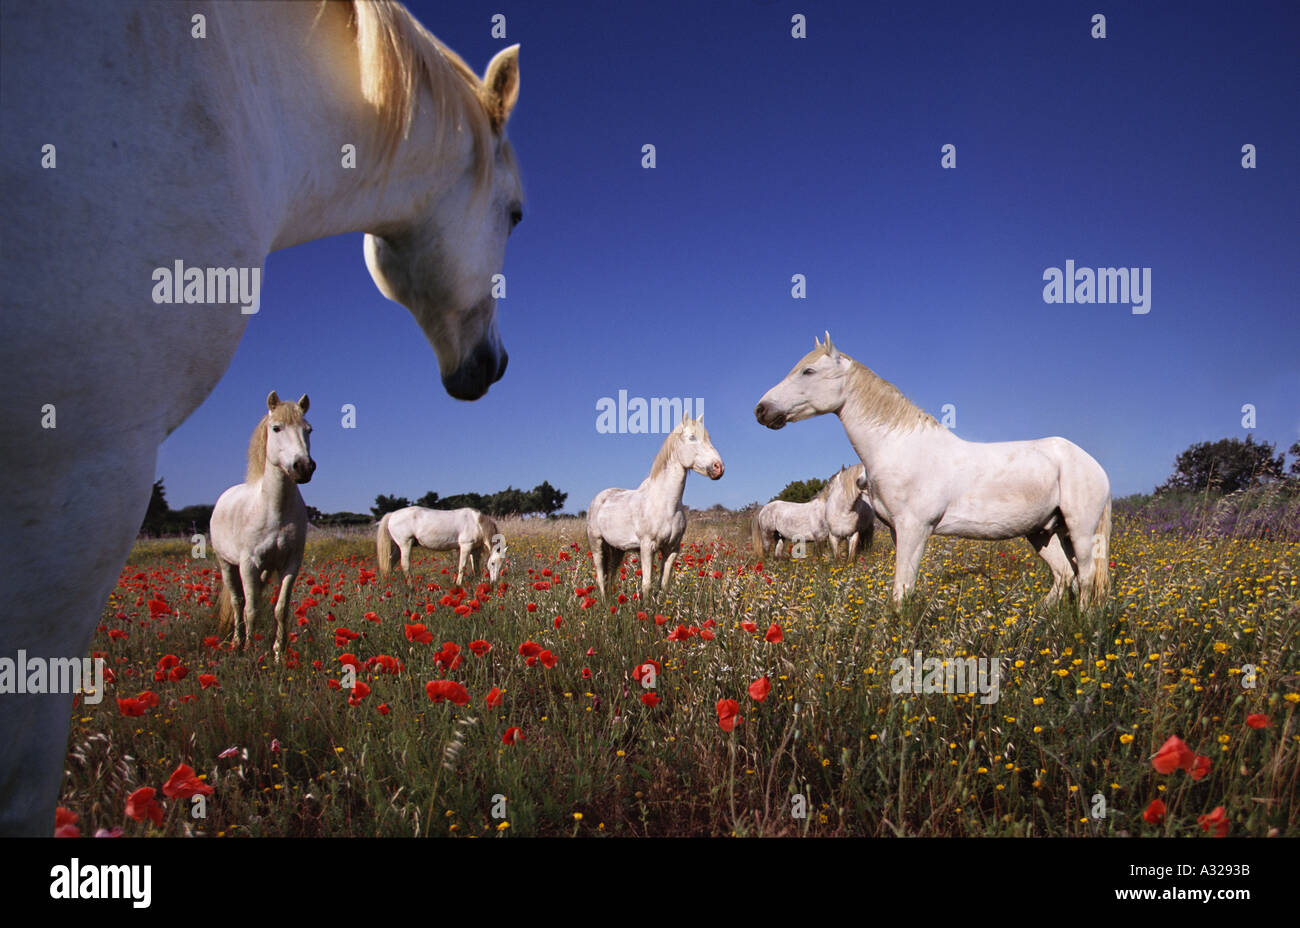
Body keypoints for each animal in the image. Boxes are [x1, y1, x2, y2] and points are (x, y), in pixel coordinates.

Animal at [211, 392, 315, 662]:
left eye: (308, 429)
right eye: (276, 428)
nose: (303, 467)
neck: (274, 510)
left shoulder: (290, 564)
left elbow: (281, 608)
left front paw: (279, 653)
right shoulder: (248, 564)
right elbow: (251, 609)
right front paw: (250, 651)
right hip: (226, 564)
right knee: (237, 601)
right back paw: (237, 642)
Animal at [376, 506, 505, 585]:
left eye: (501, 564)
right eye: (493, 563)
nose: (494, 582)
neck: (477, 522)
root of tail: (392, 515)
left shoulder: (475, 549)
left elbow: (475, 568)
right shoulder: (466, 546)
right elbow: (462, 566)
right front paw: (458, 585)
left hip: (398, 548)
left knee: (390, 563)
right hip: (405, 544)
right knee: (405, 565)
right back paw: (411, 588)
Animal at [588, 414, 724, 597]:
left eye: (709, 438)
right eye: (692, 437)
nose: (718, 467)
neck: (665, 504)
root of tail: (599, 498)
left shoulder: (671, 549)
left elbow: (664, 585)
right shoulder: (647, 547)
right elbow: (647, 585)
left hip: (617, 549)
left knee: (610, 577)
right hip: (597, 545)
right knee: (601, 578)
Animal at [755, 334, 1111, 608]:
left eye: (808, 371)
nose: (762, 410)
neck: (900, 448)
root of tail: (1092, 464)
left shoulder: (916, 528)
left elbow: (902, 589)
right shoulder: (899, 531)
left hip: (1080, 530)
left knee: (1087, 578)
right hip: (1044, 532)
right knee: (1065, 575)